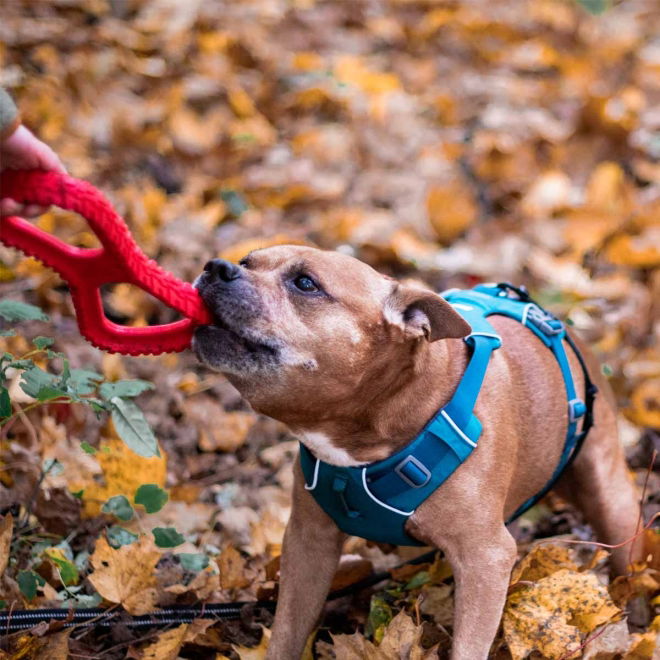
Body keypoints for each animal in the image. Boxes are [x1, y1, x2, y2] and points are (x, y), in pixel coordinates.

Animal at [191, 246, 640, 660]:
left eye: (305, 283)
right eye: (246, 262)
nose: (217, 267)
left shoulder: (486, 558)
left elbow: (467, 649)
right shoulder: (308, 544)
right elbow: (286, 633)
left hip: (611, 499)